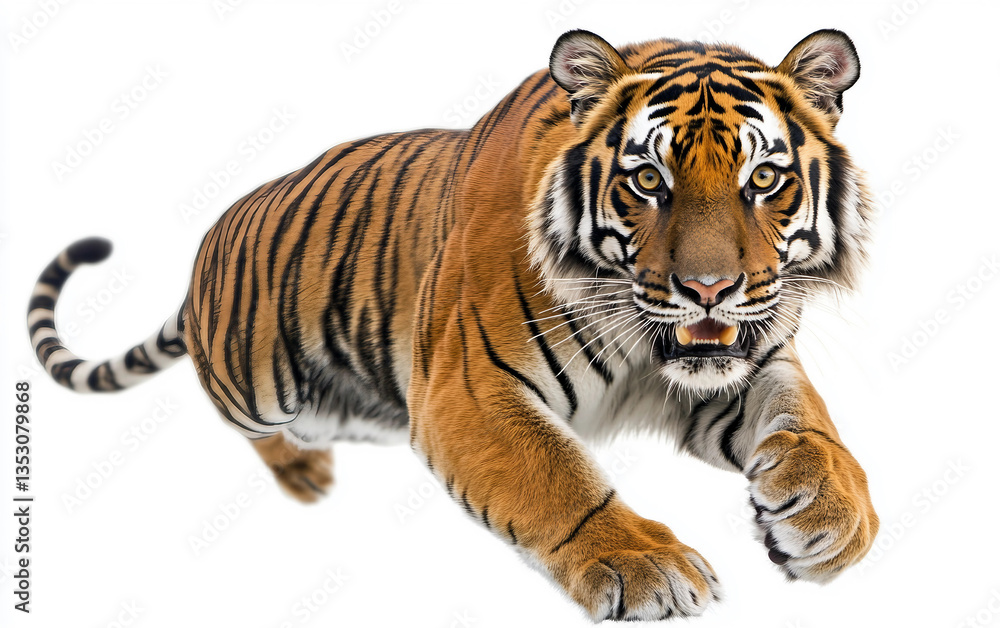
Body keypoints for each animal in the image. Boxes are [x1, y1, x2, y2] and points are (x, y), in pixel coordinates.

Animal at [27, 28, 878, 621]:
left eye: (762, 179)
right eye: (647, 180)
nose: (708, 290)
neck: (645, 340)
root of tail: (209, 243)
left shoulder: (742, 362)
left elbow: (812, 422)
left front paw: (832, 516)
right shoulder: (467, 392)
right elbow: (558, 477)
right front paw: (645, 566)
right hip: (255, 383)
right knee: (241, 418)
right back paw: (301, 470)